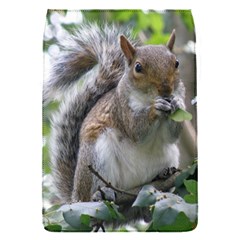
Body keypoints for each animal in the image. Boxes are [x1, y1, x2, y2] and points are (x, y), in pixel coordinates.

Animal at [43, 23, 186, 205]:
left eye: (177, 63)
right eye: (138, 67)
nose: (166, 90)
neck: (148, 98)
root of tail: (75, 197)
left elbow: (171, 135)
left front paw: (178, 103)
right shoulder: (121, 109)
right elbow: (136, 130)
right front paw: (155, 107)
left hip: (171, 154)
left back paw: (163, 174)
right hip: (96, 156)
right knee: (94, 189)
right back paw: (101, 193)